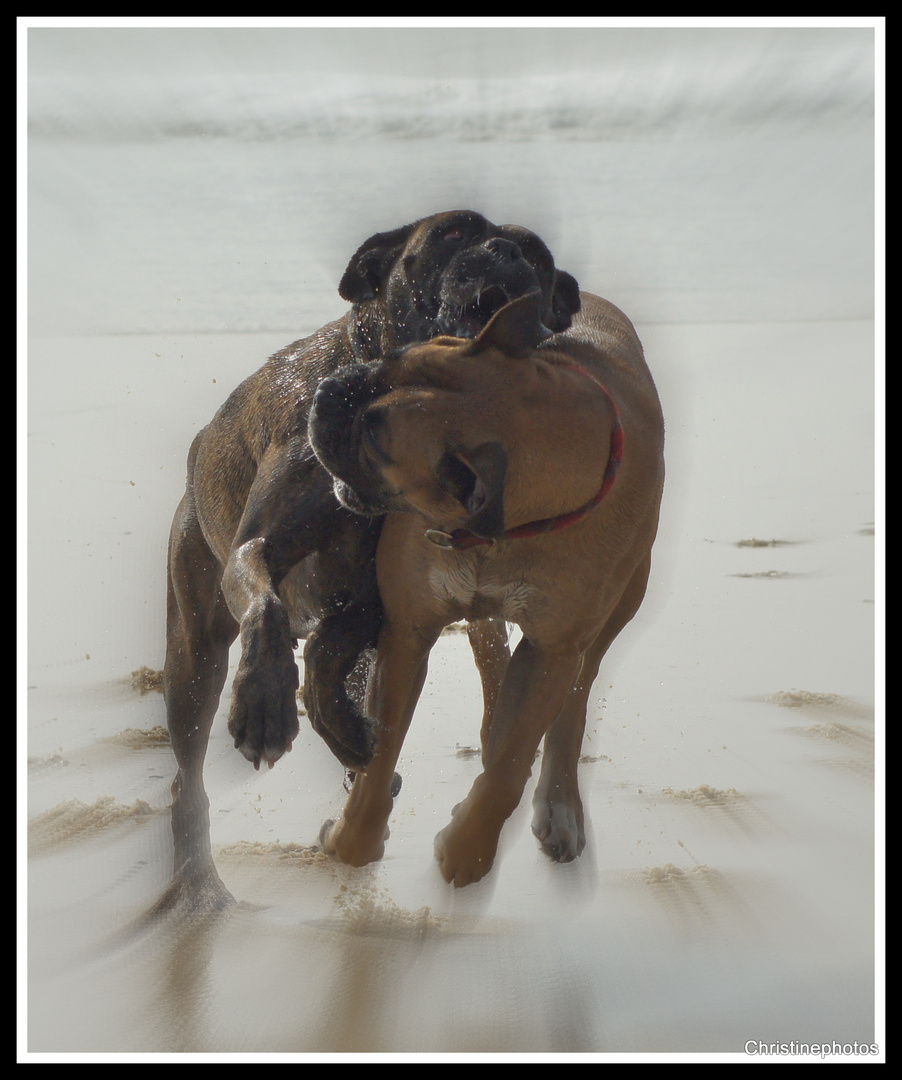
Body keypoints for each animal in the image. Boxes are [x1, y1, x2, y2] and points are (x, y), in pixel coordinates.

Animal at [160, 210, 579, 902]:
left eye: (539, 258)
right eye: (452, 233)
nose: (506, 253)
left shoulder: (375, 599)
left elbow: (330, 659)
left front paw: (345, 730)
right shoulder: (259, 546)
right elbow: (266, 603)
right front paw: (265, 705)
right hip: (191, 650)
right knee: (186, 772)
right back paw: (199, 880)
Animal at [306, 289, 665, 885]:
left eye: (377, 437)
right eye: (394, 357)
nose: (332, 388)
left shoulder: (554, 650)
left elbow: (511, 767)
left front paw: (468, 850)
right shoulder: (408, 633)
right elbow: (382, 755)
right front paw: (354, 839)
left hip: (621, 604)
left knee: (574, 698)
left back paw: (559, 804)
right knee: (493, 653)